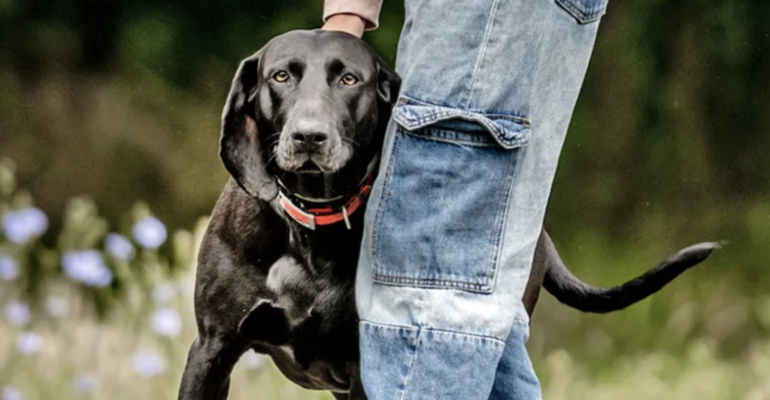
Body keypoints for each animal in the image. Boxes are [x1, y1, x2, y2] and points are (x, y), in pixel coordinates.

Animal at [177, 31, 716, 400]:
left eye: (349, 79)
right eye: (281, 76)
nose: (309, 137)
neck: (311, 226)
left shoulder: (363, 367)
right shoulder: (212, 350)